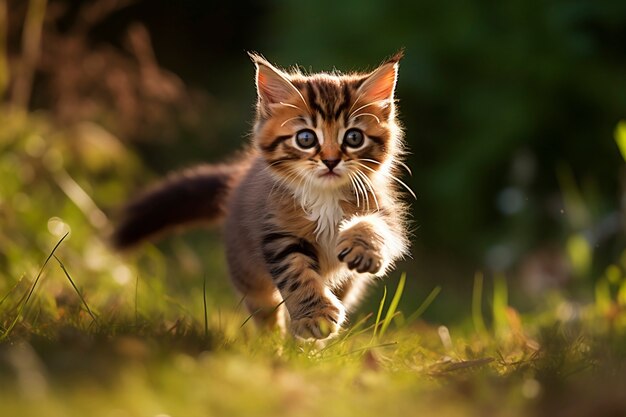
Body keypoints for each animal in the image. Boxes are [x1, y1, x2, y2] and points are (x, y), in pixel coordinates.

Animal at [113, 52, 410, 338]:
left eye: (353, 138)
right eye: (306, 139)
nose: (330, 161)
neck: (323, 196)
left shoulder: (384, 209)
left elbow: (377, 227)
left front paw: (364, 248)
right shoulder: (276, 231)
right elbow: (296, 273)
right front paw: (315, 316)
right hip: (246, 270)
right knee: (265, 312)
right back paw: (272, 346)